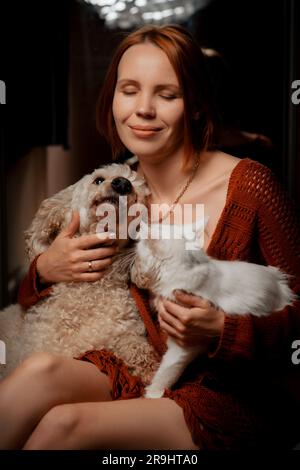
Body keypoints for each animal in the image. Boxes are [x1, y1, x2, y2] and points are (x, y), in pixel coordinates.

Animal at [0, 162, 158, 382]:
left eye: (138, 197)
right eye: (98, 180)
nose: (122, 183)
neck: (90, 293)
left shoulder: (122, 334)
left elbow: (136, 348)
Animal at [131, 218, 296, 398]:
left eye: (140, 245)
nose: (134, 246)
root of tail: (282, 287)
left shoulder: (184, 345)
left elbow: (167, 371)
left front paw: (153, 393)